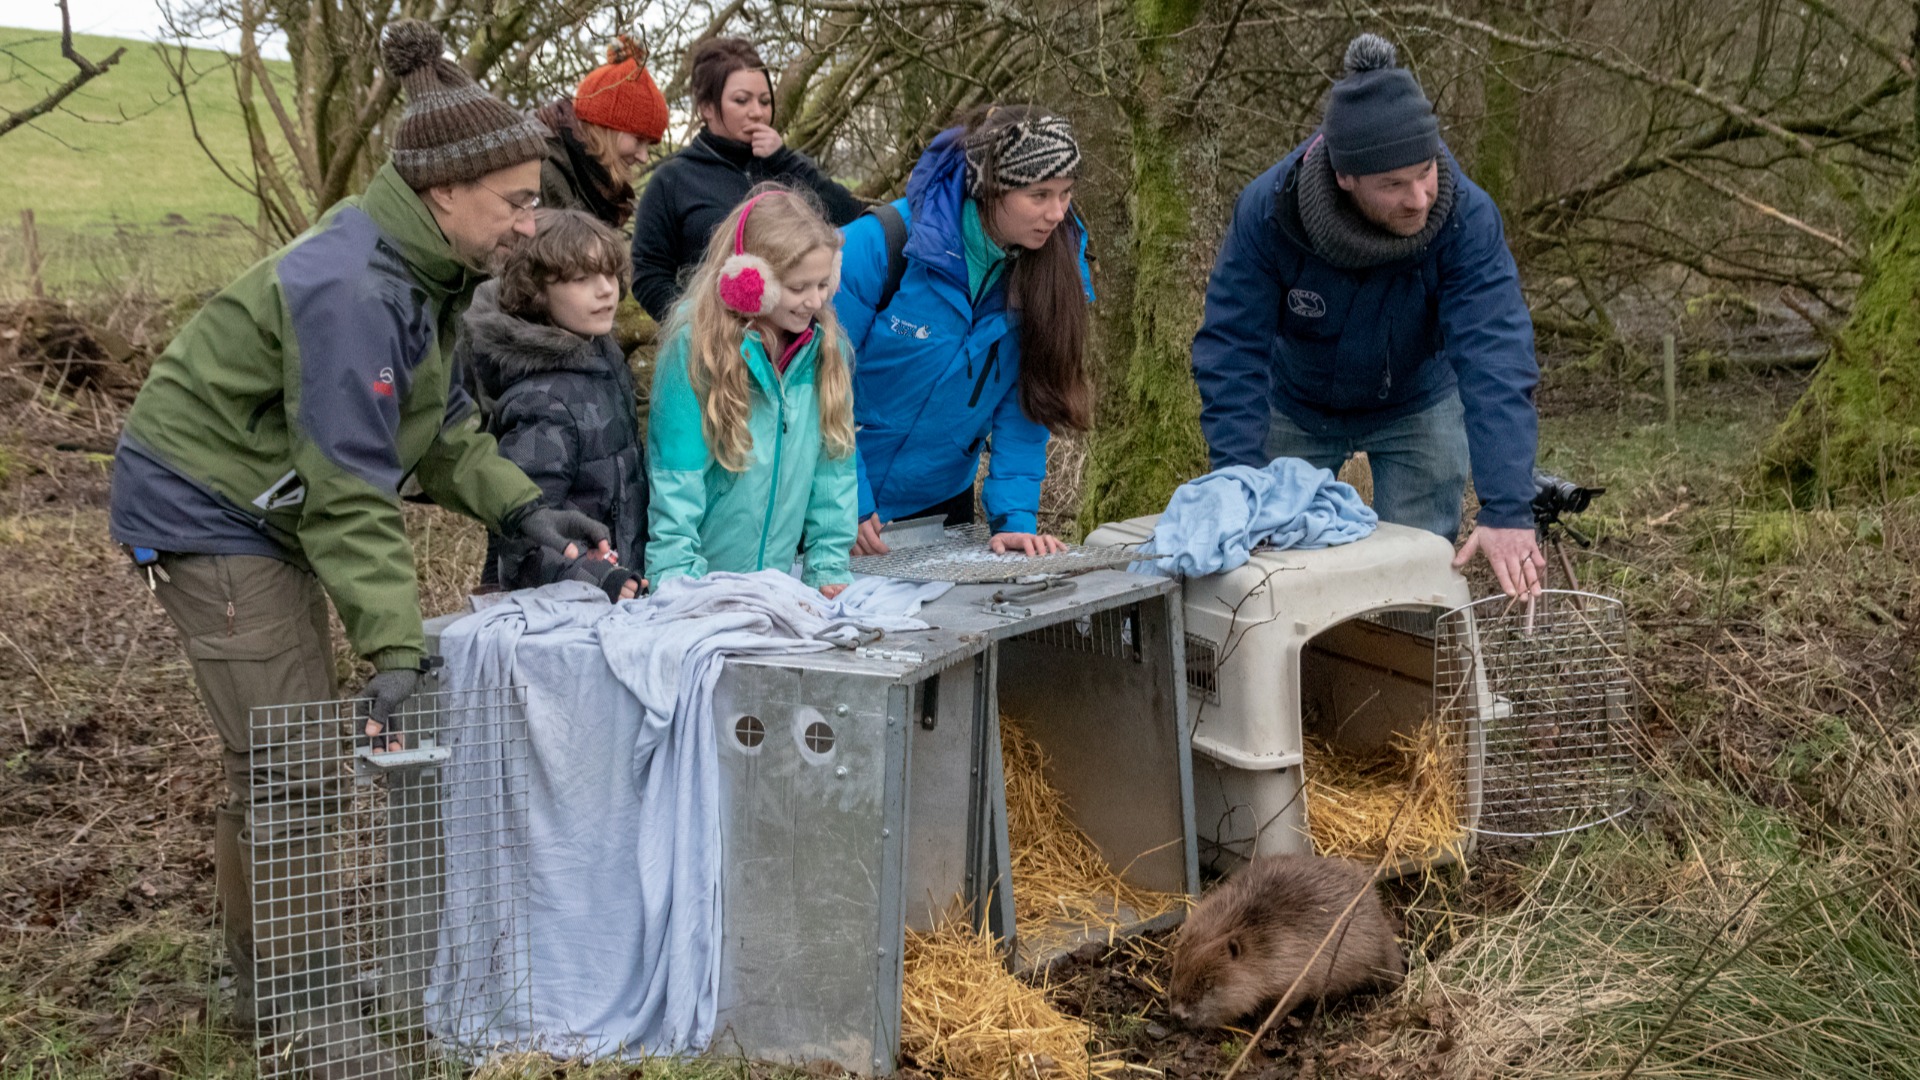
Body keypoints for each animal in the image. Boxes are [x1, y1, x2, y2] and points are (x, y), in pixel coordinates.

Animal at [1159, 849, 1405, 1022]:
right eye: (1177, 971)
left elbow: (1289, 997)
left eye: (1209, 985)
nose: (1178, 1014)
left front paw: (1262, 1022)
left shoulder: (1292, 966)